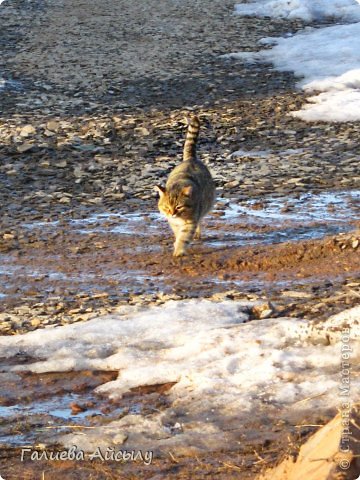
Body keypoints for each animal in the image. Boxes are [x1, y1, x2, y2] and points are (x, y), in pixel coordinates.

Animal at [154, 114, 214, 256]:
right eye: (166, 207)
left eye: (179, 207)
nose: (172, 214)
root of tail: (190, 158)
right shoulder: (173, 223)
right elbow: (178, 234)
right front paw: (177, 244)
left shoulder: (190, 222)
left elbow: (184, 237)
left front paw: (179, 250)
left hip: (205, 207)